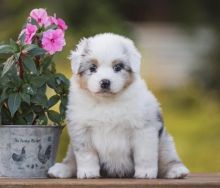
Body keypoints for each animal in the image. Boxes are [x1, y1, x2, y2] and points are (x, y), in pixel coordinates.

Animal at [48, 32, 189, 179]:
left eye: (117, 67)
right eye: (92, 68)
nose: (105, 82)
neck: (107, 102)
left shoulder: (144, 129)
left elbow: (144, 154)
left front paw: (145, 173)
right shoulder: (81, 130)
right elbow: (86, 155)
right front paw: (88, 172)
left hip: (165, 143)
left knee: (167, 159)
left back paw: (177, 170)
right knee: (70, 160)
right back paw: (59, 169)